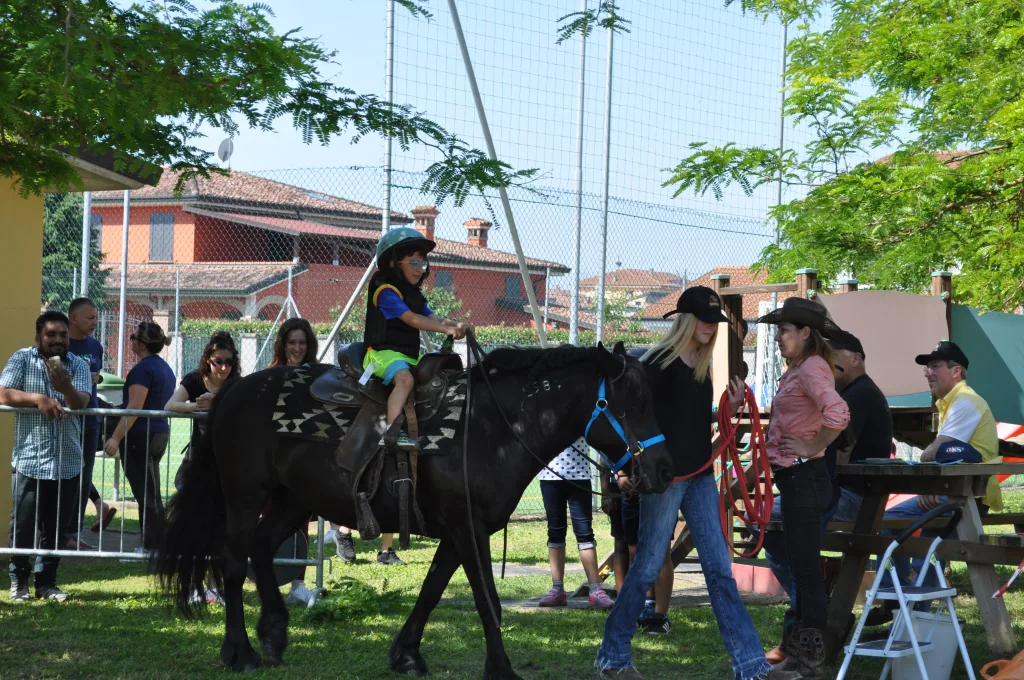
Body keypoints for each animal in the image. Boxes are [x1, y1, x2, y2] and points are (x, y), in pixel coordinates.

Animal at [155, 342, 675, 675]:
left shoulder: (461, 531)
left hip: (292, 499)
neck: (492, 428)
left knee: (262, 550)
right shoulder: (468, 529)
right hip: (244, 496)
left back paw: (273, 633)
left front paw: (406, 654)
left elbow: (431, 590)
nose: (664, 469)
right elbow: (487, 602)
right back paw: (239, 651)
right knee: (232, 562)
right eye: (630, 404)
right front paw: (501, 667)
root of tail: (233, 391)